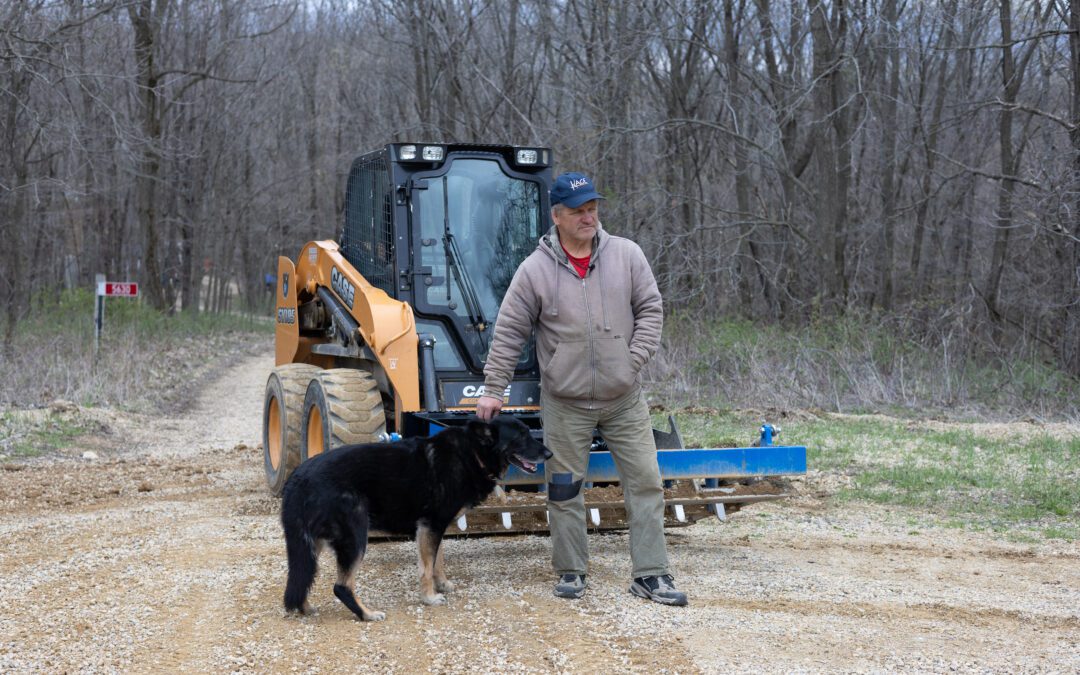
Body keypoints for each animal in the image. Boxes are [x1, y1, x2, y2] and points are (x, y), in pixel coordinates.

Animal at [280, 416, 548, 622]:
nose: (549, 453)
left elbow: (437, 561)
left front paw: (442, 584)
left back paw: (305, 607)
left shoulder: (433, 528)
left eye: (528, 433)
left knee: (302, 576)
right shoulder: (431, 526)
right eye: (521, 436)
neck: (473, 452)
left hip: (310, 545)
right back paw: (367, 614)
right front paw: (429, 597)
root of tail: (299, 477)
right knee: (341, 586)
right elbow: (427, 567)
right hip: (354, 538)